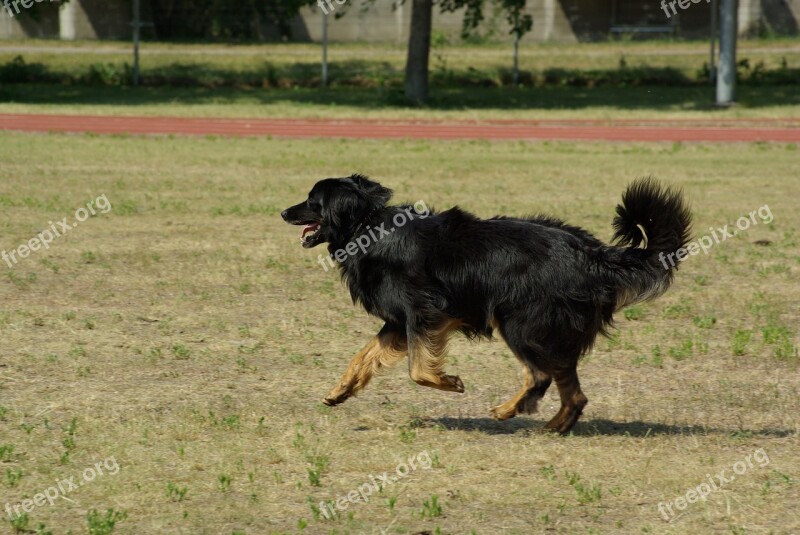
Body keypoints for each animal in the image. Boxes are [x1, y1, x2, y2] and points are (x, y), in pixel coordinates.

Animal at [284, 176, 692, 436]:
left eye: (312, 201)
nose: (283, 213)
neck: (368, 228)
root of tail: (594, 253)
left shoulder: (424, 312)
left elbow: (418, 369)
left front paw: (449, 382)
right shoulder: (400, 323)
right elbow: (364, 355)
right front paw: (340, 391)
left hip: (517, 322)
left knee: (540, 376)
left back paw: (509, 410)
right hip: (549, 333)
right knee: (573, 392)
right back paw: (552, 427)